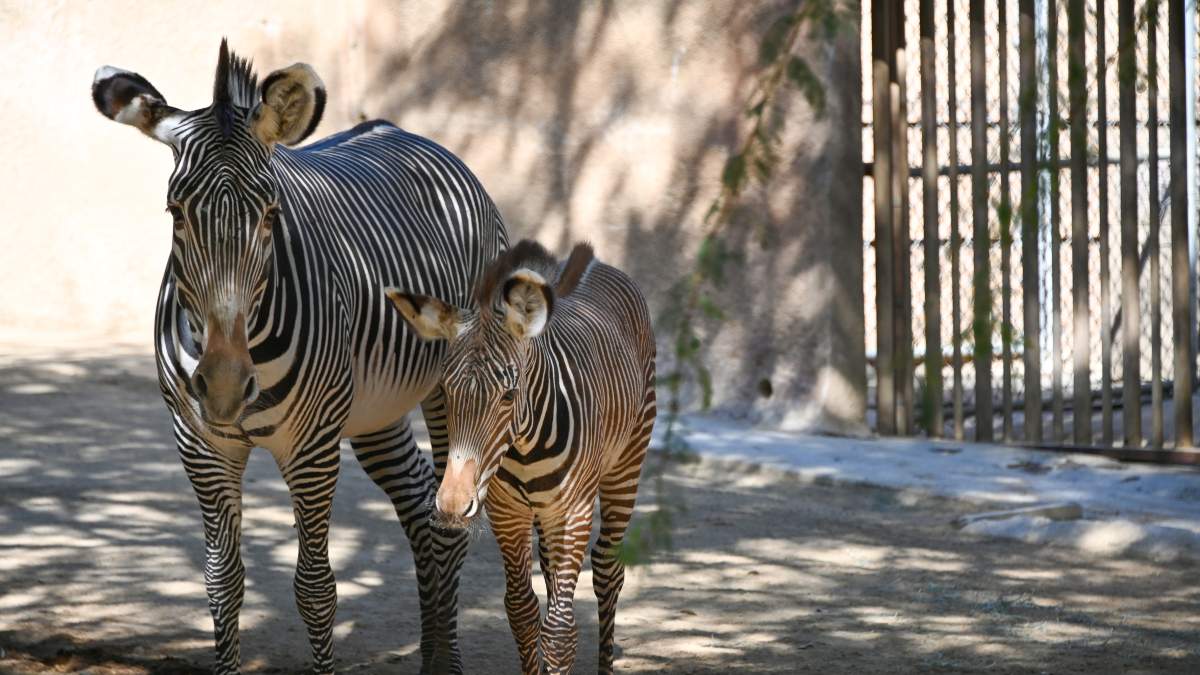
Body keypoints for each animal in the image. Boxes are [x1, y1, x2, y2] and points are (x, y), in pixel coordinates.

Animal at [90, 40, 507, 674]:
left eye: (269, 215)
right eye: (175, 213)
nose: (224, 387)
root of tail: (410, 134)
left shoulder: (311, 448)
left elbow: (316, 589)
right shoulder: (201, 445)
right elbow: (222, 582)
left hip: (445, 388)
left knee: (448, 520)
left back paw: (448, 661)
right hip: (374, 409)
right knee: (418, 501)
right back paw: (431, 652)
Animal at [384, 240, 656, 675]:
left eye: (509, 395)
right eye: (444, 391)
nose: (452, 506)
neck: (528, 449)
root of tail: (596, 261)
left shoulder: (574, 511)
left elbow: (560, 630)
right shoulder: (506, 513)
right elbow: (521, 610)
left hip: (627, 463)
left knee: (608, 570)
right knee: (551, 572)